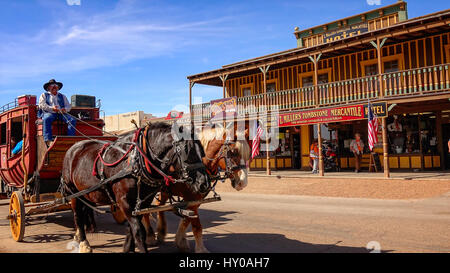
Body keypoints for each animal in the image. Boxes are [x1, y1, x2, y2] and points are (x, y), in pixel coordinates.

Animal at [61, 122, 211, 252]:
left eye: (202, 151)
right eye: (187, 152)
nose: (204, 183)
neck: (137, 161)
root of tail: (72, 148)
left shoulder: (144, 201)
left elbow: (132, 228)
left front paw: (128, 248)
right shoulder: (124, 201)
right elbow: (139, 231)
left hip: (86, 193)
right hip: (73, 193)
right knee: (78, 216)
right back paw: (83, 242)